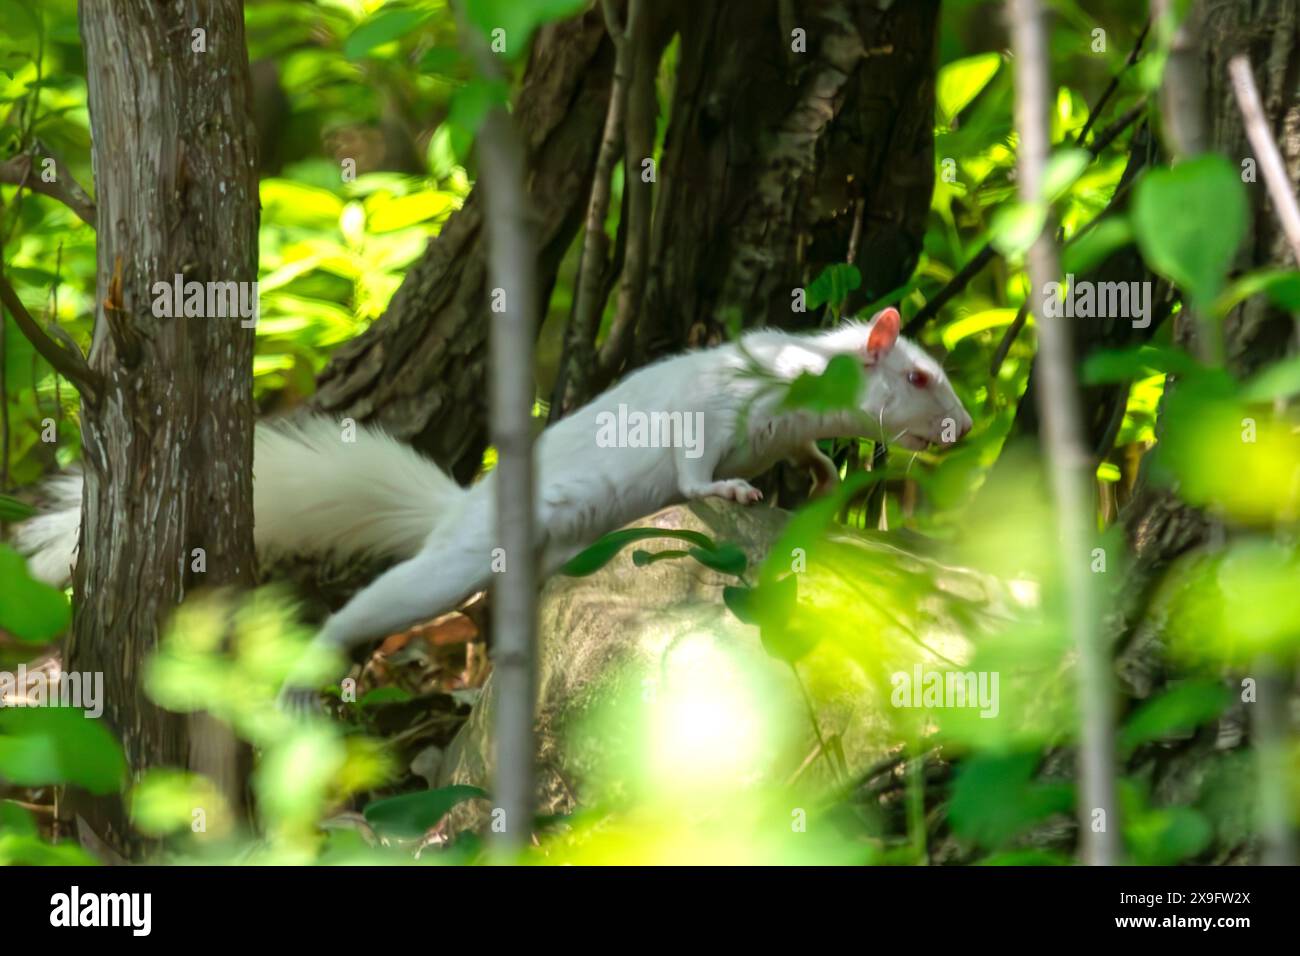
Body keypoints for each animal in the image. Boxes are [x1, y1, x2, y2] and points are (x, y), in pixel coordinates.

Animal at [14, 307, 971, 697]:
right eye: (920, 376)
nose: (963, 428)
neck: (804, 380)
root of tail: (456, 513)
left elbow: (801, 452)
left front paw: (821, 477)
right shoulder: (708, 407)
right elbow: (694, 465)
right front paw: (726, 487)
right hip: (447, 568)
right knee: (377, 605)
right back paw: (310, 668)